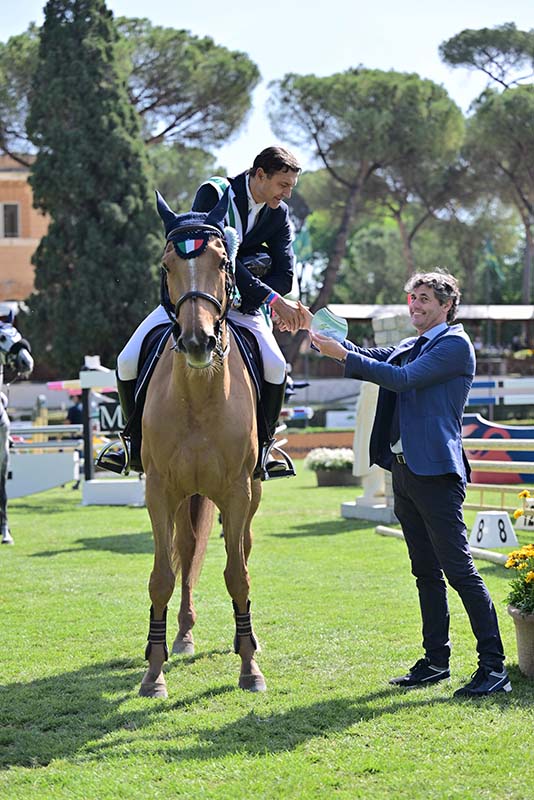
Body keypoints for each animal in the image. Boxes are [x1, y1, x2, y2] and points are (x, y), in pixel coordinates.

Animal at [137, 191, 264, 696]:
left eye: (222, 261)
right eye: (167, 264)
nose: (197, 341)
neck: (197, 395)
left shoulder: (237, 490)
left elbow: (238, 575)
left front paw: (250, 667)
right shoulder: (159, 490)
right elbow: (162, 577)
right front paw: (153, 673)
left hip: (250, 493)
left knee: (240, 547)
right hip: (183, 497)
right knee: (187, 551)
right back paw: (183, 635)